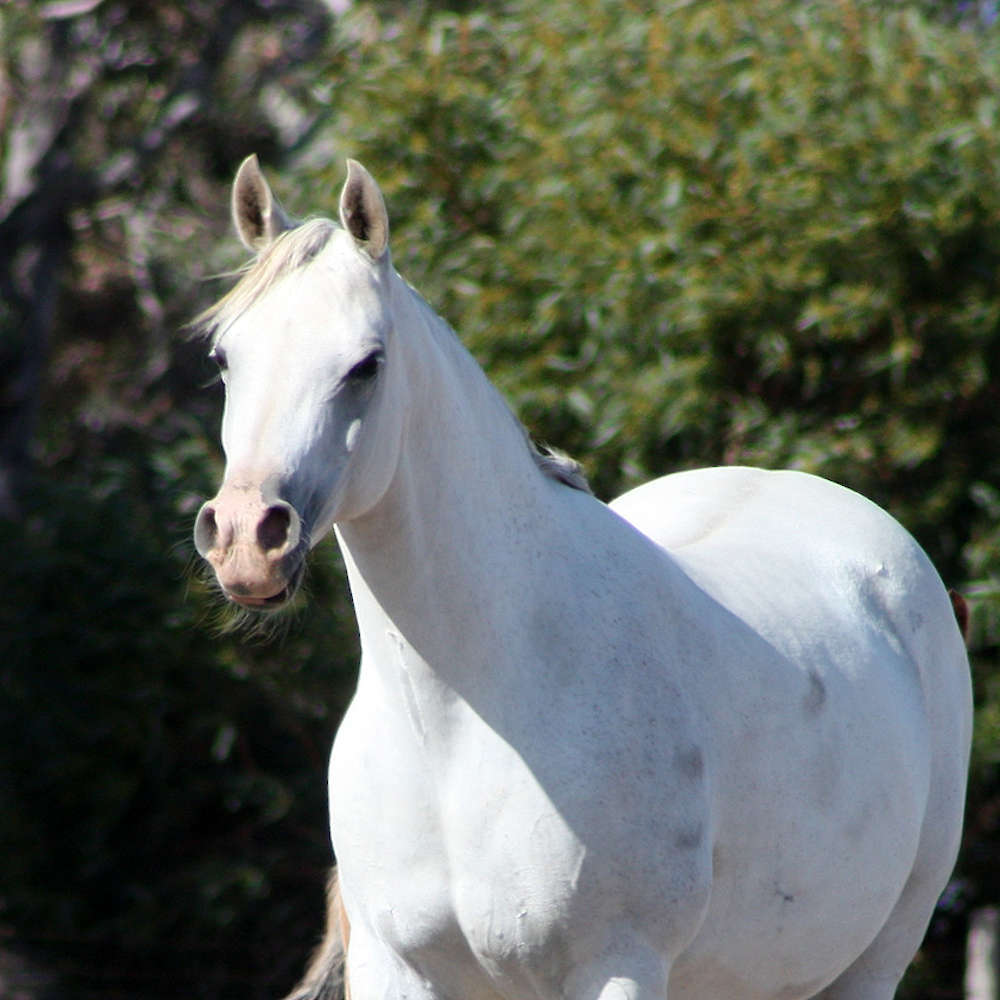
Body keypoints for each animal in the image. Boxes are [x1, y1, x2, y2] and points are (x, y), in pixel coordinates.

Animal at [193, 154, 973, 1000]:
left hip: (871, 961)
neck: (466, 714)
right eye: (225, 358)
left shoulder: (615, 966)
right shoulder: (394, 967)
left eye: (366, 364)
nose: (247, 539)